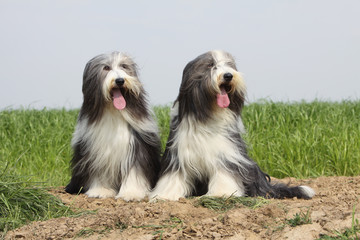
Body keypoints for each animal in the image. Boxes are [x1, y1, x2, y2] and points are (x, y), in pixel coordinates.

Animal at [65, 52, 160, 201]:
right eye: (106, 68)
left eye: (124, 66)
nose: (120, 80)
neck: (114, 112)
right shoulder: (97, 149)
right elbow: (98, 170)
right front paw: (100, 191)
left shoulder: (137, 146)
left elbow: (134, 170)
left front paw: (131, 193)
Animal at [150, 50, 314, 201]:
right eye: (210, 65)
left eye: (229, 65)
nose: (228, 75)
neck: (209, 114)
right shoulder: (179, 151)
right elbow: (173, 175)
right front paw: (165, 195)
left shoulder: (226, 151)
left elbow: (224, 172)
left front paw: (221, 193)